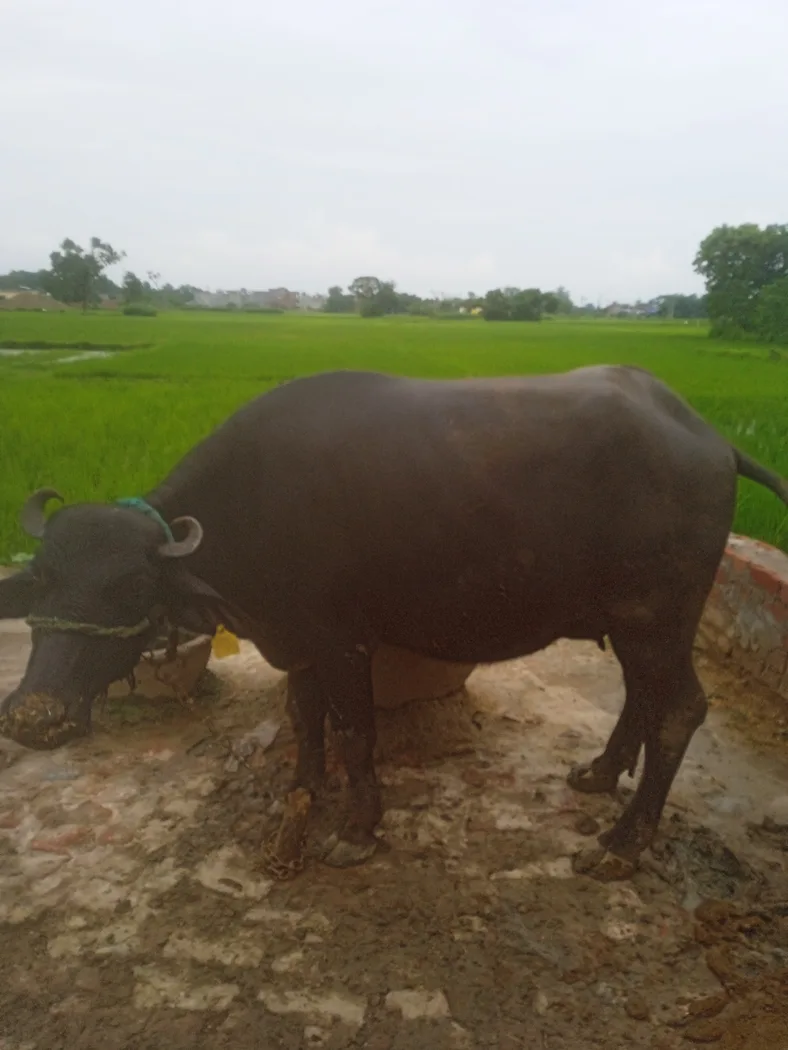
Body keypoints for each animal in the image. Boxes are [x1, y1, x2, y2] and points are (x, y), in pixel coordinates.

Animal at [1, 366, 786, 880]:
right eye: (42, 579)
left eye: (130, 585)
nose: (34, 716)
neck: (254, 510)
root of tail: (710, 439)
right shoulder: (294, 639)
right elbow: (305, 716)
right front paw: (305, 789)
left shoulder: (343, 641)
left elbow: (355, 732)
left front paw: (356, 829)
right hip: (632, 622)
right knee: (641, 696)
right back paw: (597, 773)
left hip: (656, 618)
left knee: (679, 707)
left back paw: (623, 845)